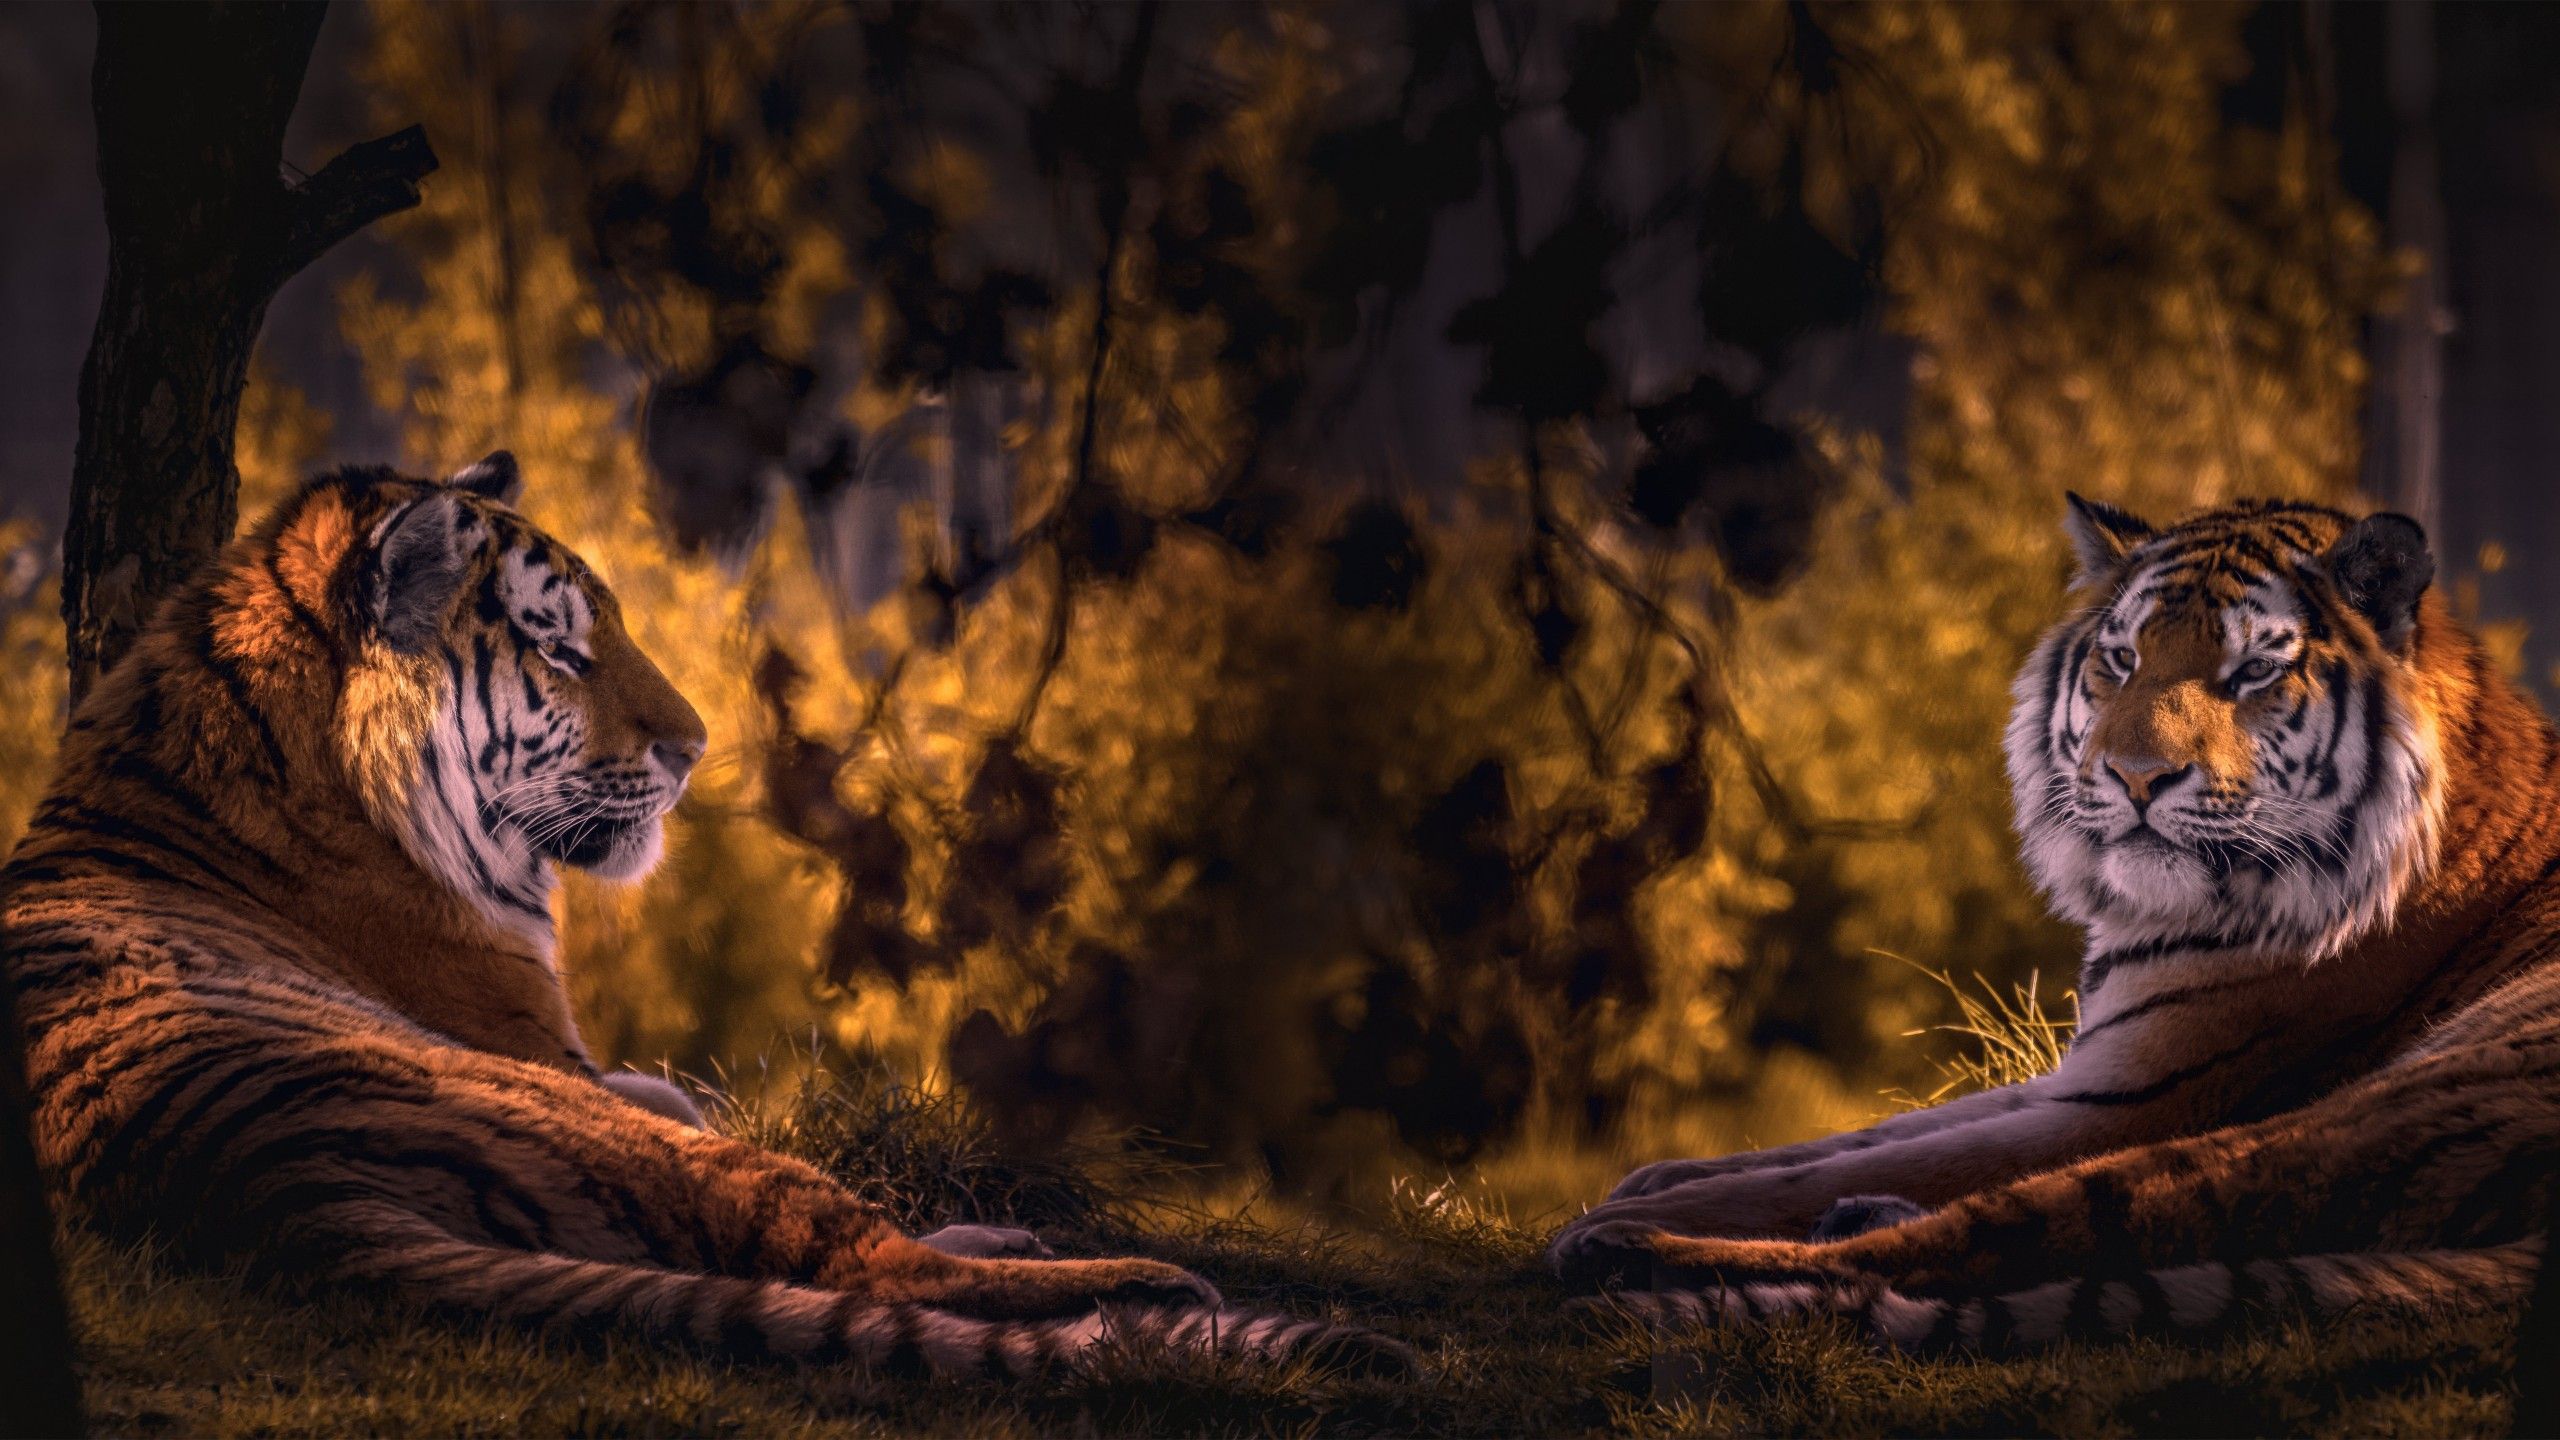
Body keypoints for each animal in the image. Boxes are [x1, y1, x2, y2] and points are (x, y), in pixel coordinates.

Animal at [2, 454, 1402, 1379]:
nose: (694, 749)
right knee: (873, 1261)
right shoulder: (561, 1056)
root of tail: (259, 1188)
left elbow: (686, 1085)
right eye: (560, 650)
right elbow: (699, 1109)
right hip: (560, 1113)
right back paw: (1165, 1287)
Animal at [1548, 493, 2560, 1352]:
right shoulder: (2087, 1076)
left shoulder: (2136, 1100)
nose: (2136, 777)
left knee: (1997, 1240)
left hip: (2369, 1109)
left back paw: (1623, 1253)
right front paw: (1656, 1176)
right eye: (2123, 659)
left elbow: (1839, 1169)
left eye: (2253, 671)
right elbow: (1859, 1137)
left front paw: (1628, 1210)